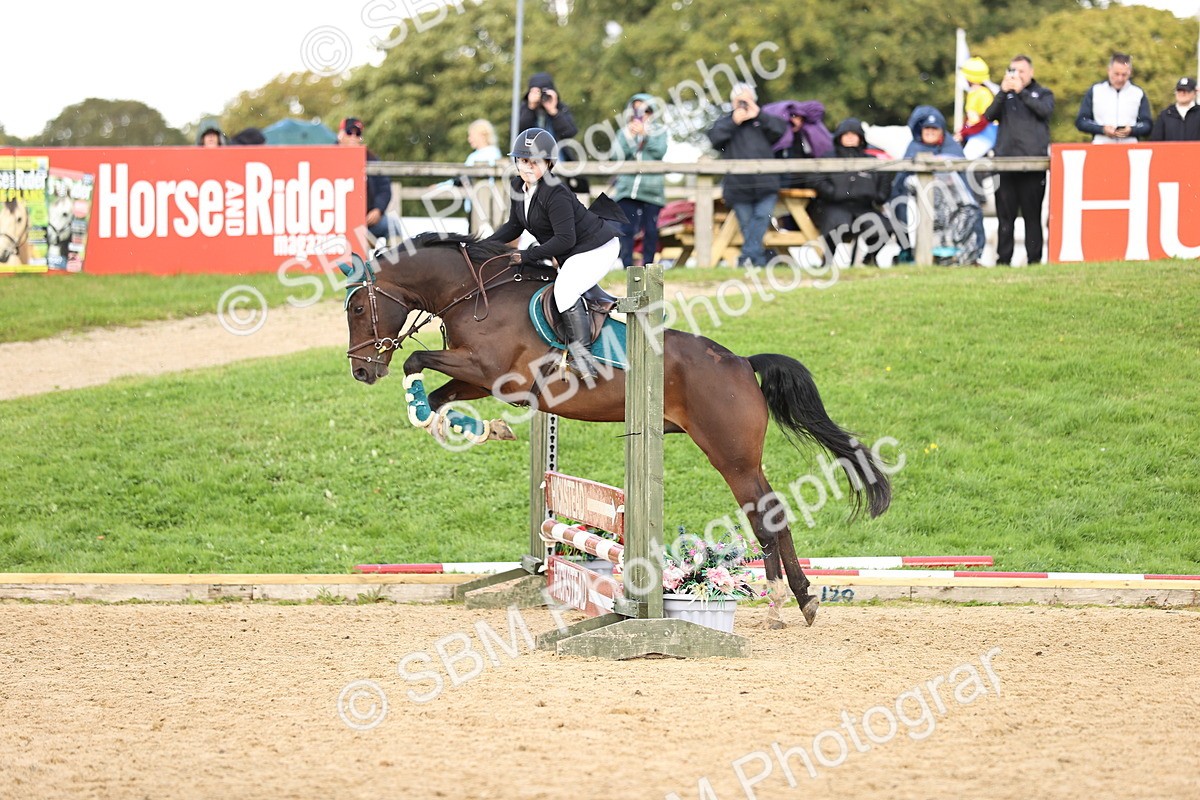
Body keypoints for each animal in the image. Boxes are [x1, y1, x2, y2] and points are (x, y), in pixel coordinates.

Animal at [342, 232, 891, 627]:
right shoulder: (480, 379)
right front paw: (480, 428)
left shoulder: (493, 371)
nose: (361, 371)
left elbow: (415, 360)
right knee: (771, 512)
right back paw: (800, 601)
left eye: (358, 308)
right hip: (737, 456)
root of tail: (741, 362)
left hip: (731, 455)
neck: (474, 296)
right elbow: (437, 400)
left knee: (765, 516)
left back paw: (783, 599)